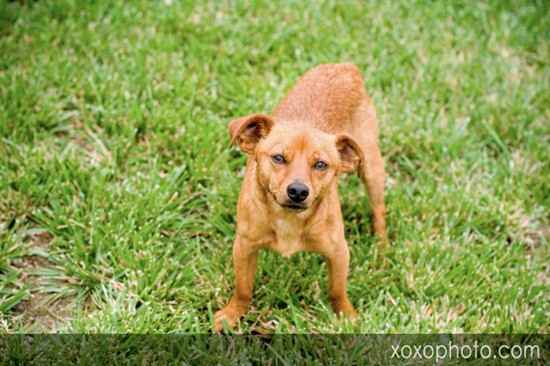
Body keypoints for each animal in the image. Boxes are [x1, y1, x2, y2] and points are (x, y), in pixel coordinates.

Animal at [215, 63, 388, 332]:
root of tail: (345, 67)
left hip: (371, 169)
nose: (298, 191)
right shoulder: (244, 246)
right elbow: (243, 288)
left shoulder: (338, 252)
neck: (288, 219)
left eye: (321, 164)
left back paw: (382, 247)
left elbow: (338, 290)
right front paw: (233, 314)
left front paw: (346, 316)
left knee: (379, 211)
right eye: (278, 158)